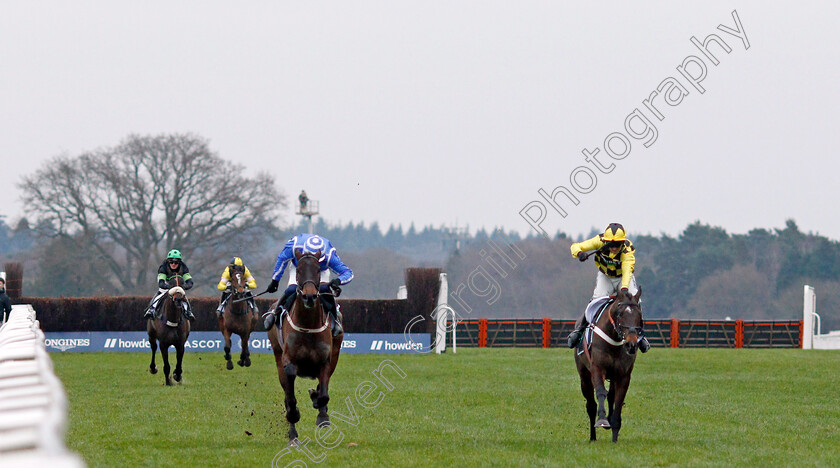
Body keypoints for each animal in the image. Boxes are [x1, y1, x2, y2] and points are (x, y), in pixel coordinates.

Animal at [270, 250, 346, 444]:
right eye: (298, 271)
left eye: (318, 270)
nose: (309, 296)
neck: (308, 326)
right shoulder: (288, 361)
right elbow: (290, 398)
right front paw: (294, 416)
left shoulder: (326, 361)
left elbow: (324, 394)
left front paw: (322, 417)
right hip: (277, 355)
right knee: (287, 395)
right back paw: (293, 435)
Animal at [576, 288, 648, 442]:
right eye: (620, 314)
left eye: (639, 315)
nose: (631, 344)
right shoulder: (597, 369)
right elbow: (601, 392)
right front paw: (602, 419)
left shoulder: (623, 375)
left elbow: (618, 400)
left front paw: (614, 435)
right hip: (584, 377)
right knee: (591, 405)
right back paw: (593, 437)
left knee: (611, 396)